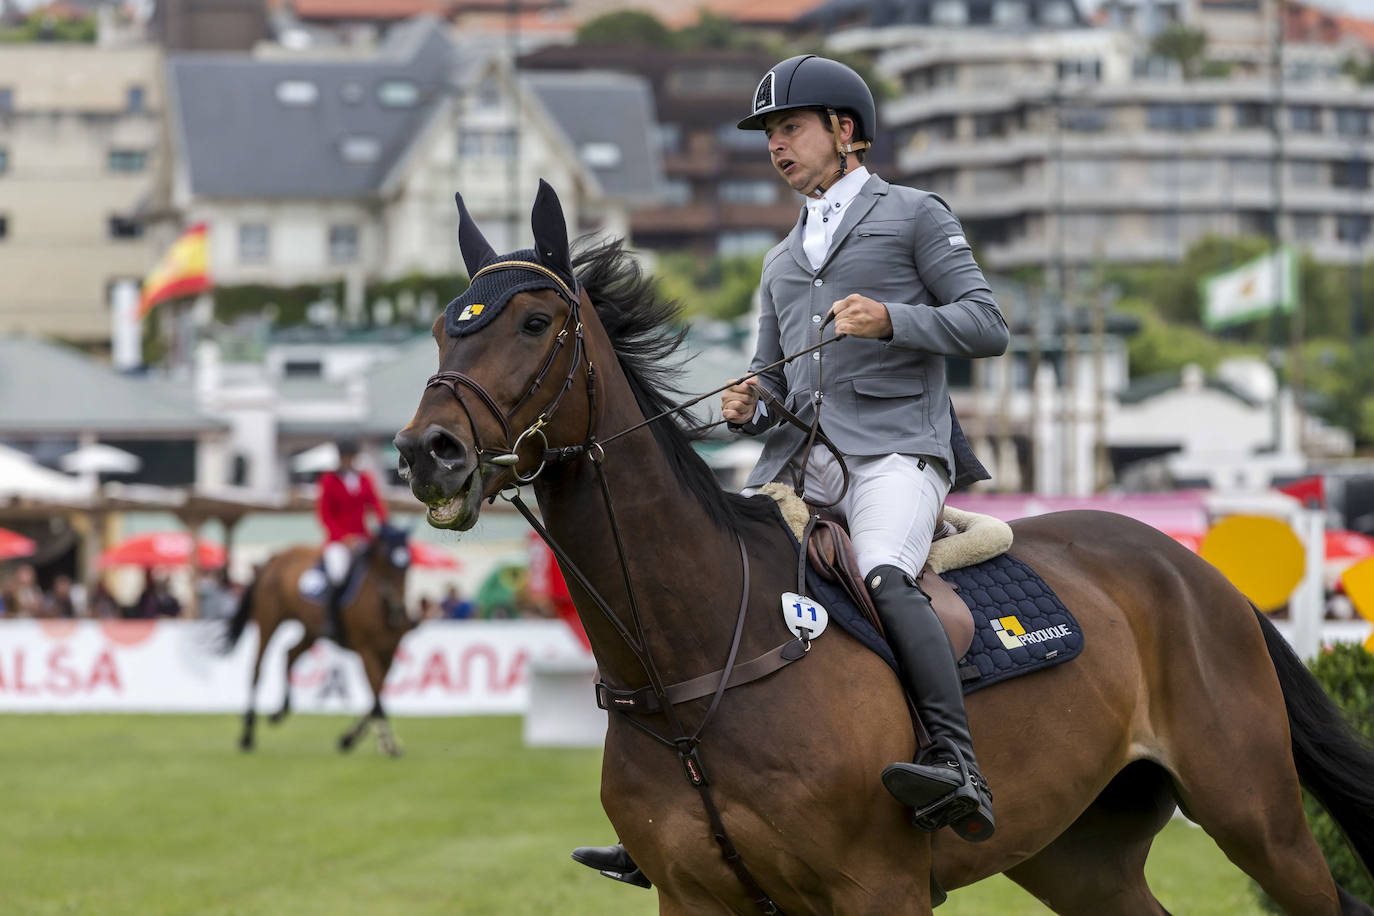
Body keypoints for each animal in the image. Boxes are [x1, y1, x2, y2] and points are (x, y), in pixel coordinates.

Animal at [217, 519, 412, 758]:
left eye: (408, 565)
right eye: (386, 561)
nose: (399, 609)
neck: (381, 604)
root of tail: (276, 557)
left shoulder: (389, 652)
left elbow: (378, 693)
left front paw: (351, 738)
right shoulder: (366, 650)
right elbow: (376, 694)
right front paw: (386, 742)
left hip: (310, 630)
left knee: (290, 654)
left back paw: (280, 711)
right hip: (268, 619)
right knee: (257, 668)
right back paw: (247, 735)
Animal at [390, 181, 1374, 916]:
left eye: (533, 325)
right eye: (442, 329)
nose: (426, 452)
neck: (695, 658)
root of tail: (1195, 570)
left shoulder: (877, 890)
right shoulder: (695, 899)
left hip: (1257, 819)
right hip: (1079, 856)